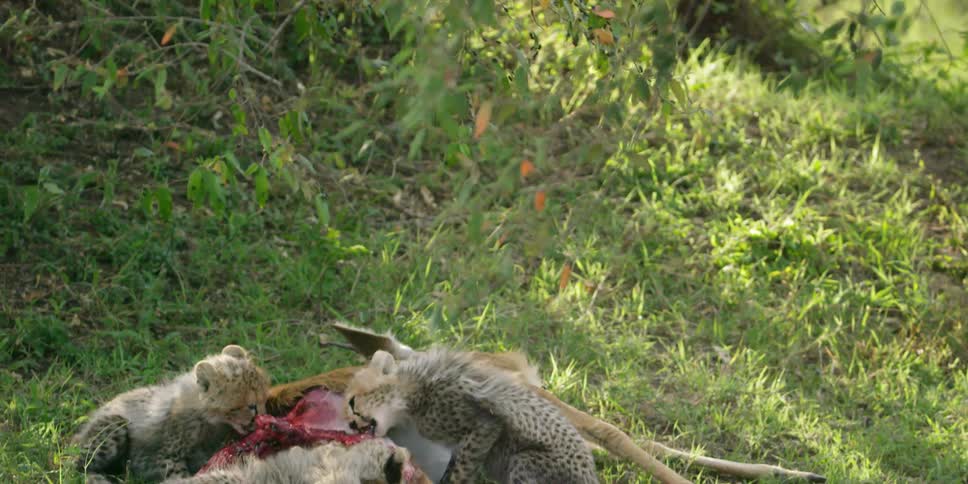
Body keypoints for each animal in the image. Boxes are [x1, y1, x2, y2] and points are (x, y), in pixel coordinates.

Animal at [71, 344, 270, 483]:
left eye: (264, 400)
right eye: (252, 406)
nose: (264, 417)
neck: (209, 419)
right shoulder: (166, 456)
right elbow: (179, 475)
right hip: (114, 424)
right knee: (77, 466)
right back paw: (96, 478)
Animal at [342, 348, 599, 484]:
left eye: (352, 402)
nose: (352, 425)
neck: (414, 388)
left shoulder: (485, 425)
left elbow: (461, 471)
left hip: (525, 462)